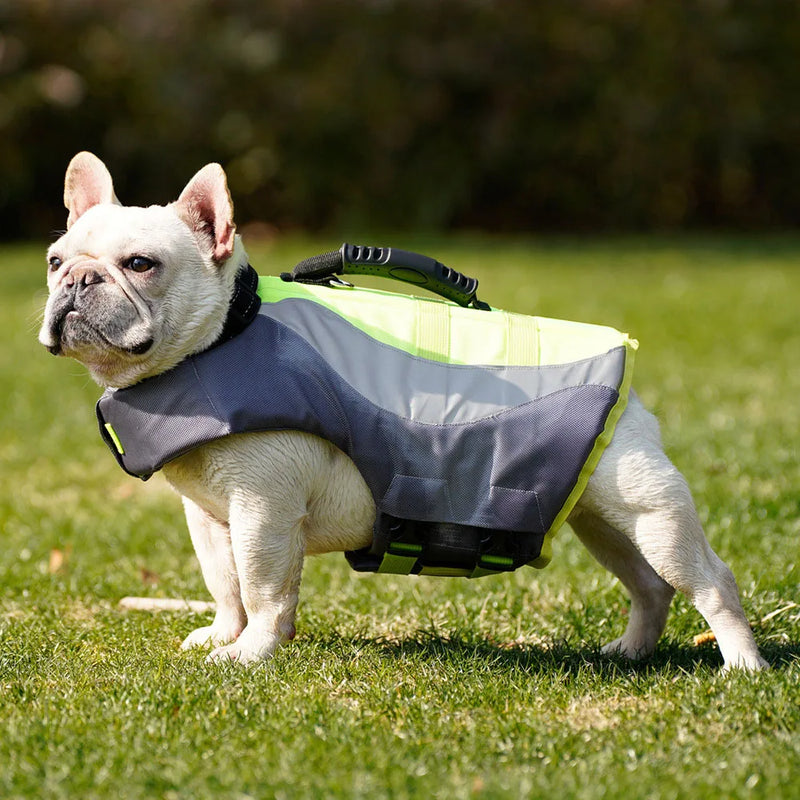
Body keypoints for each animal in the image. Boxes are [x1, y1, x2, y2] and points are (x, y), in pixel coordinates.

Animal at [39, 152, 768, 668]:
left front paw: (252, 654)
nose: (77, 280)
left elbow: (264, 588)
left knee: (710, 582)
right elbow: (227, 585)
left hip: (652, 514)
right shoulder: (211, 519)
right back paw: (633, 651)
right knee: (649, 586)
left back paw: (742, 666)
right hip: (603, 522)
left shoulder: (263, 511)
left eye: (141, 264)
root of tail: (628, 383)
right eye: (53, 262)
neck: (223, 335)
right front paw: (226, 635)